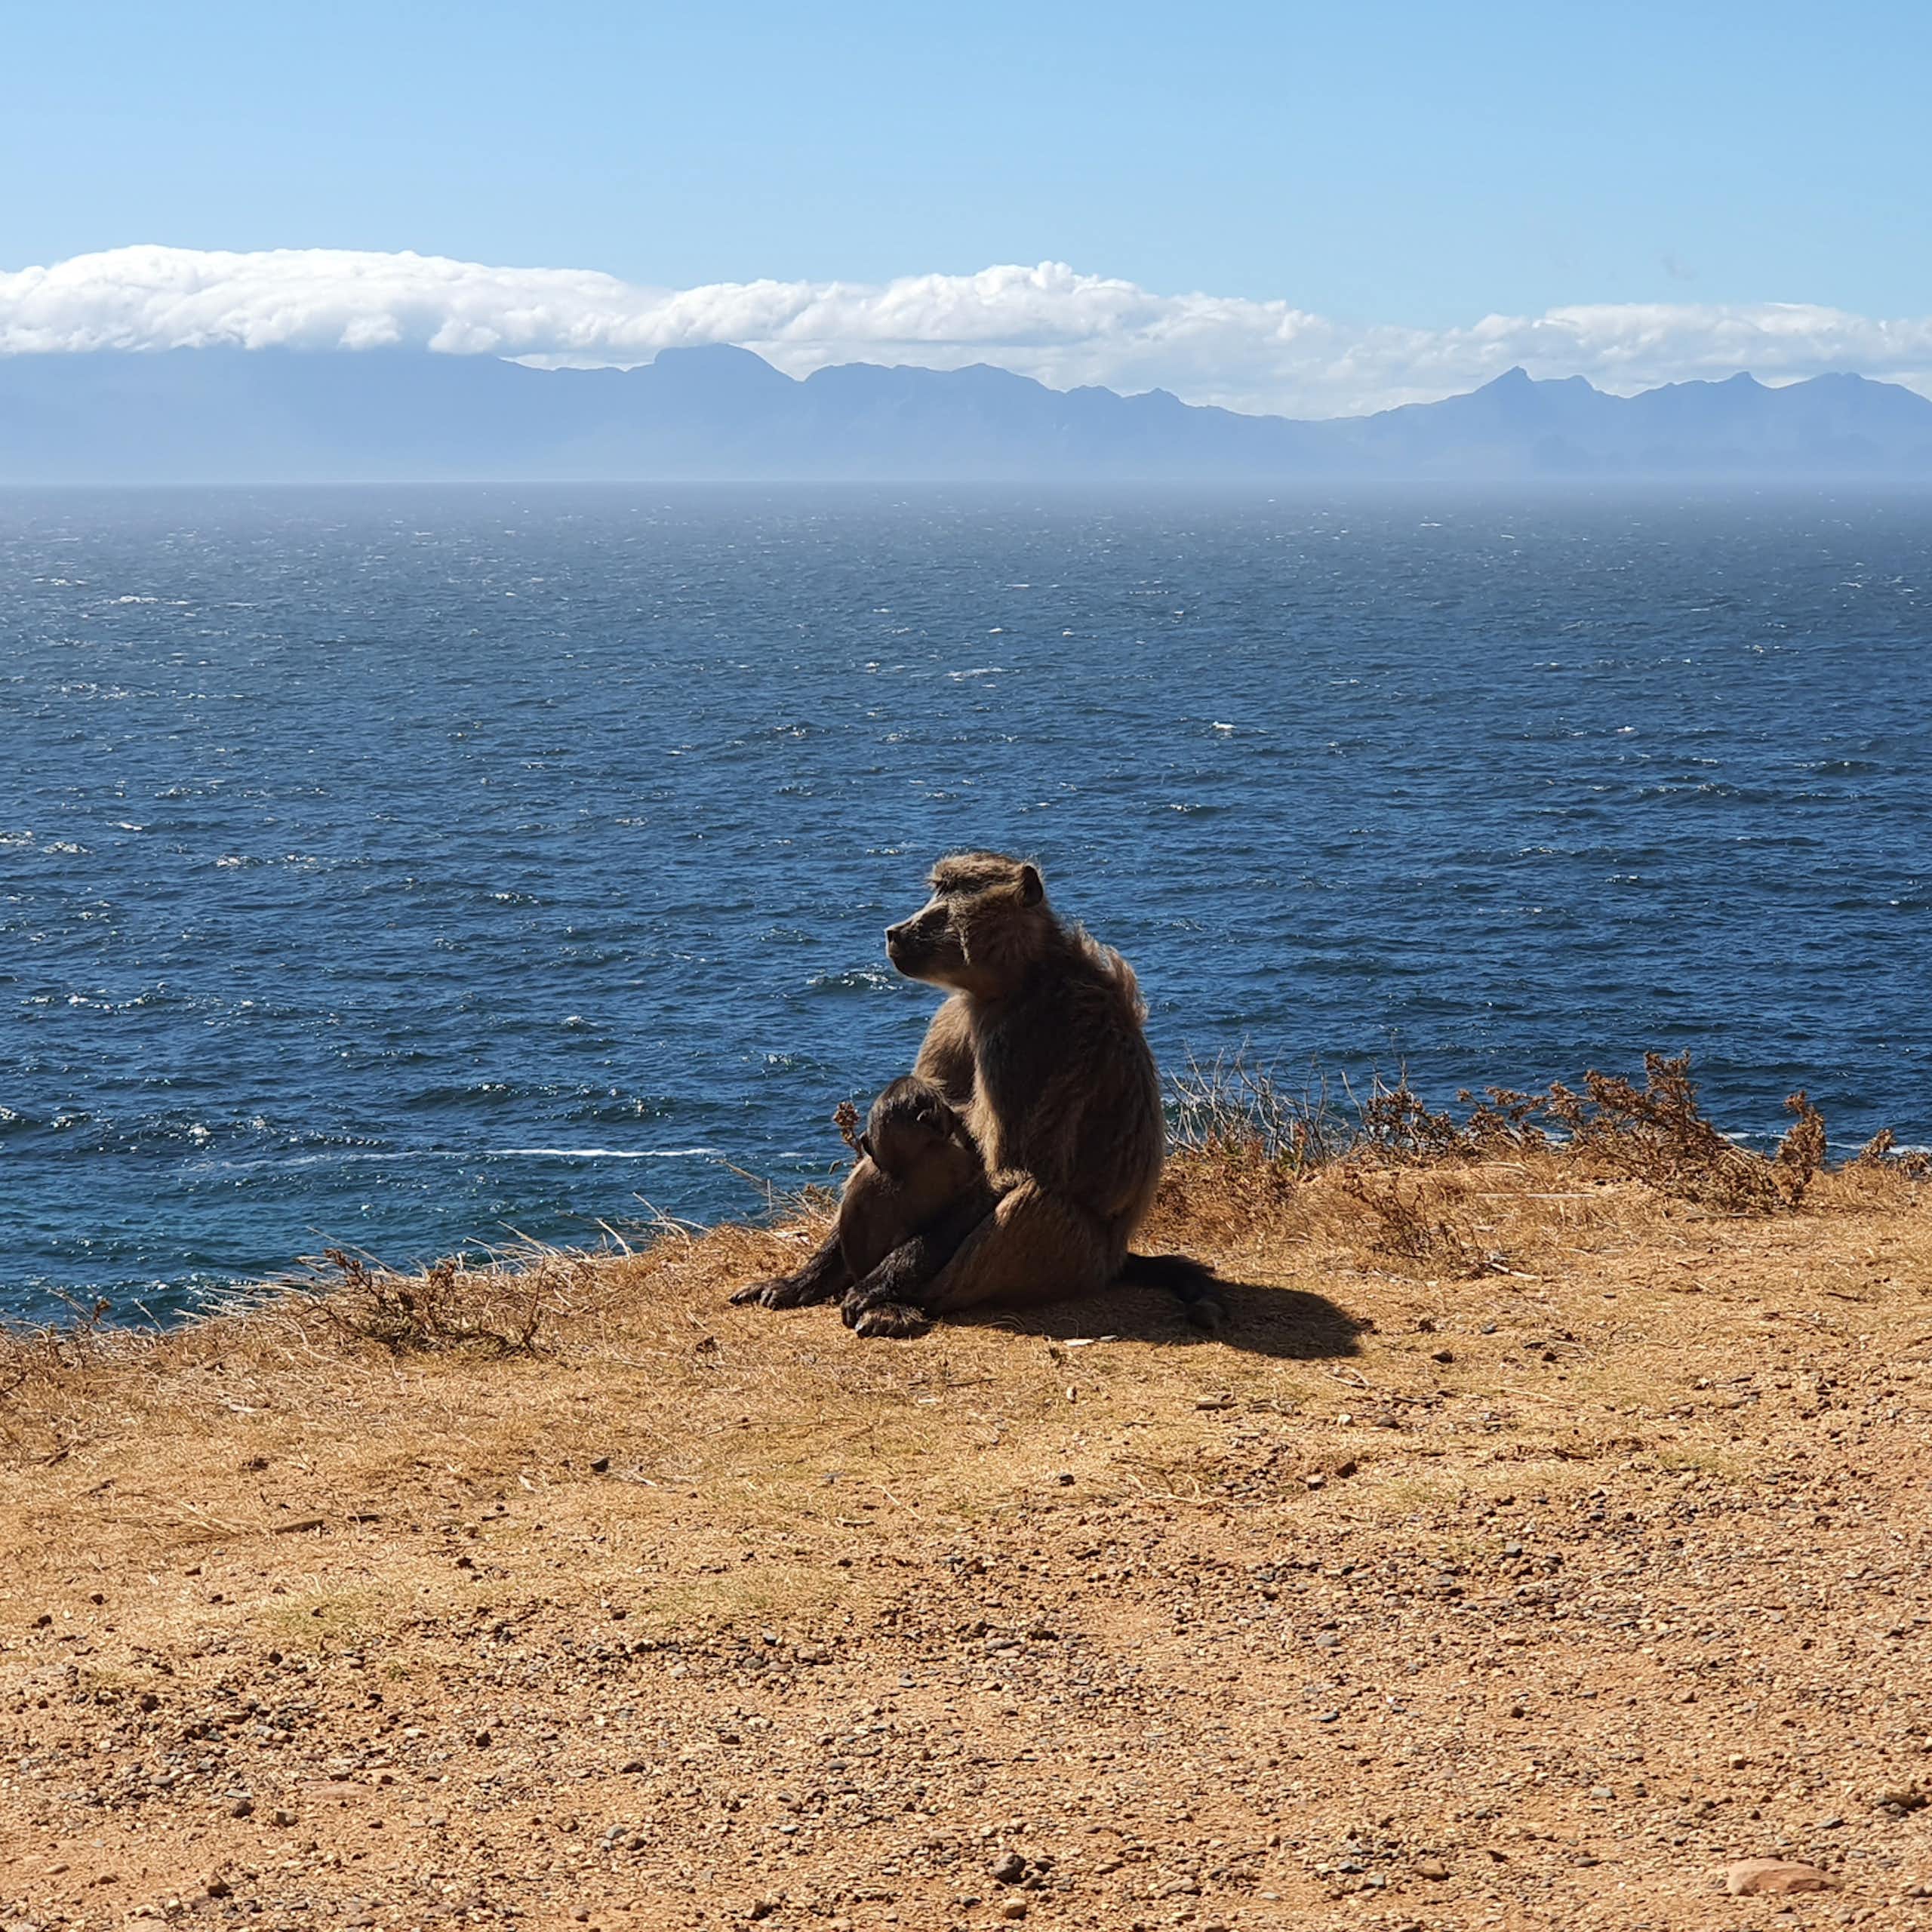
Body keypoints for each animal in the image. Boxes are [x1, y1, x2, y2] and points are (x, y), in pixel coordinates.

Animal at [732, 853, 1220, 1336]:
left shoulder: (1026, 1037)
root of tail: (1116, 1261)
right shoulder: (953, 1017)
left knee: (1030, 1201)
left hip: (1074, 1263)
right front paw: (804, 1279)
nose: (895, 931)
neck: (1023, 979)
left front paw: (876, 1287)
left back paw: (901, 1304)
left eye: (950, 891)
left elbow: (1009, 1173)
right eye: (937, 889)